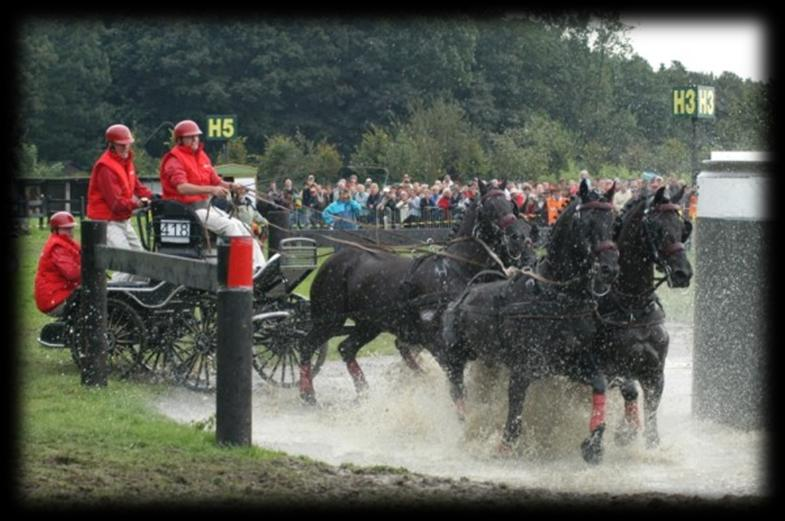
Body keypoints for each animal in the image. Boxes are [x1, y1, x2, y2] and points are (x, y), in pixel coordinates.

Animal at [298, 183, 536, 402]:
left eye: (511, 206)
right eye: (490, 207)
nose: (516, 237)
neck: (456, 268)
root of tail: (331, 260)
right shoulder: (438, 341)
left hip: (369, 324)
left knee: (346, 348)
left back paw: (364, 394)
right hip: (329, 319)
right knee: (306, 346)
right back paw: (307, 394)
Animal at [438, 181, 616, 462]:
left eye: (612, 221)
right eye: (588, 222)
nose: (610, 268)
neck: (556, 296)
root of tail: (463, 296)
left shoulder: (570, 361)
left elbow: (599, 384)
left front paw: (594, 443)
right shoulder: (523, 367)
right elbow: (515, 408)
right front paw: (504, 446)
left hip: (489, 361)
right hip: (454, 355)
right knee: (457, 390)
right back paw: (466, 426)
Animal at [596, 187, 692, 450]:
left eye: (682, 227)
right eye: (658, 228)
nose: (683, 273)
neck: (633, 307)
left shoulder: (655, 370)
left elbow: (651, 409)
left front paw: (651, 443)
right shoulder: (611, 366)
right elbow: (630, 390)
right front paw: (625, 431)